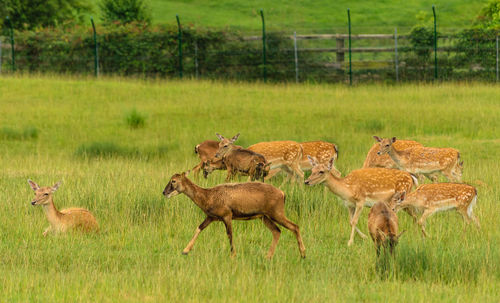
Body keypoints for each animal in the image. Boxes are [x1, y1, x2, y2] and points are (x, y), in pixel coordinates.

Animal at [162, 172, 306, 260]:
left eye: (173, 181)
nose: (164, 192)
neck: (208, 195)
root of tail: (282, 193)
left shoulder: (227, 216)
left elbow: (230, 235)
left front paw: (233, 255)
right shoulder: (211, 218)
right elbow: (199, 228)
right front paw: (185, 250)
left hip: (277, 214)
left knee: (295, 227)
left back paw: (303, 254)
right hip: (265, 217)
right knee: (277, 231)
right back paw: (268, 256)